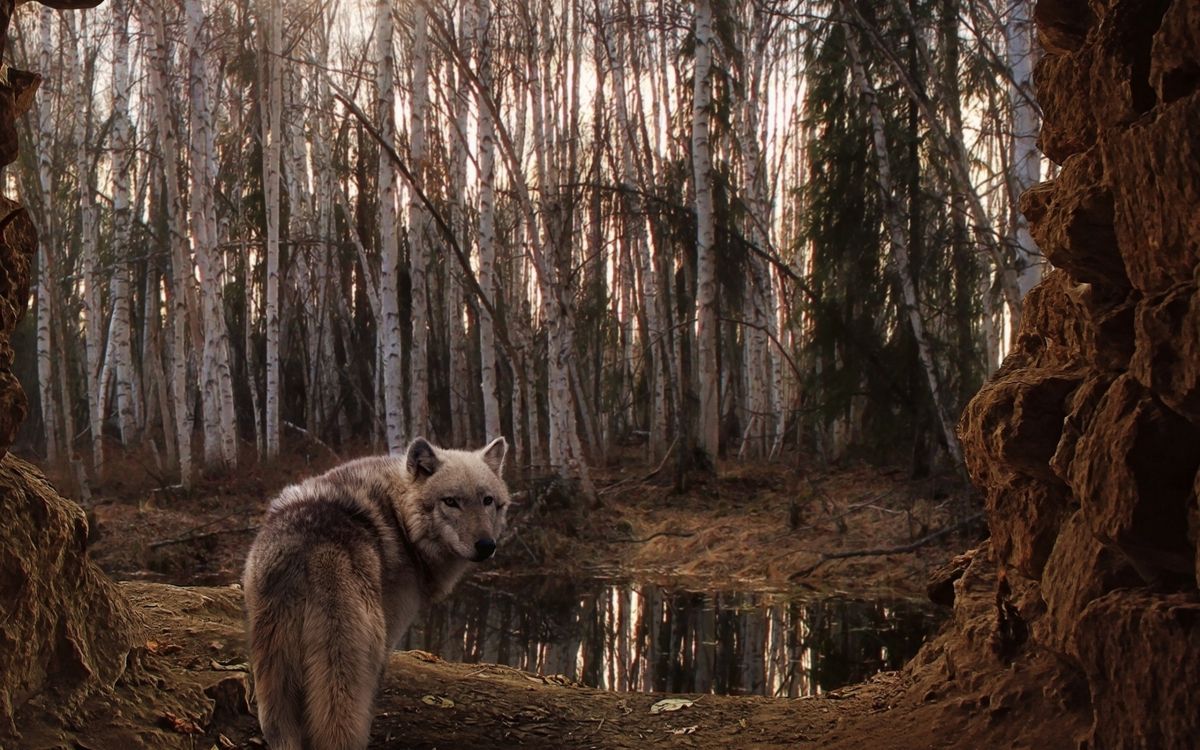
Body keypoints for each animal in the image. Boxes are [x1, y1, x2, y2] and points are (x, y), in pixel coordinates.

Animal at [241, 436, 508, 744]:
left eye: (487, 501)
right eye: (451, 502)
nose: (486, 545)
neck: (401, 519)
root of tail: (313, 550)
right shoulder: (390, 636)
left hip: (274, 682)